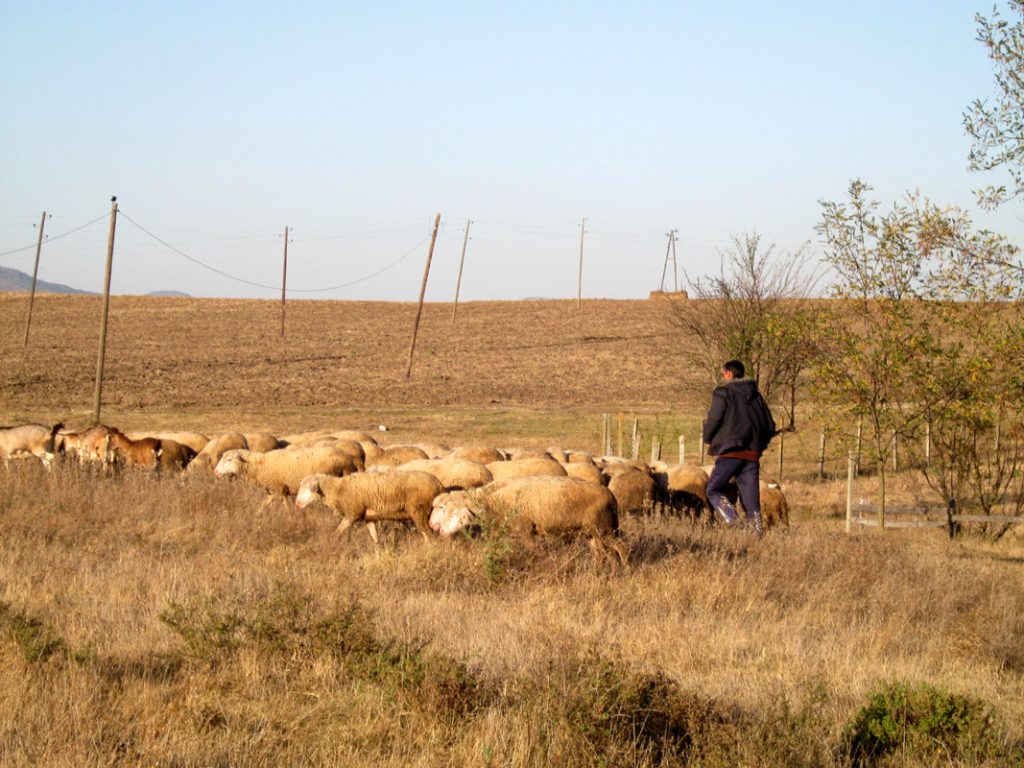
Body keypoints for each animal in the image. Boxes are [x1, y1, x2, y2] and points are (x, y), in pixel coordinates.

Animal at [294, 468, 442, 540]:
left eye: (307, 488)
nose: (297, 504)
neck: (338, 489)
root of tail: (438, 484)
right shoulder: (369, 518)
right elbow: (374, 538)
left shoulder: (352, 514)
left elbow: (337, 532)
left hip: (419, 511)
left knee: (429, 535)